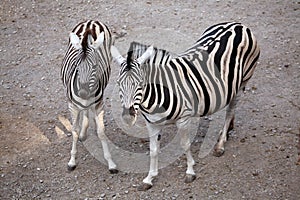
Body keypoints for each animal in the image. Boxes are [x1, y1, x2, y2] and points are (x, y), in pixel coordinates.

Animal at [60, 19, 117, 173]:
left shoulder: (98, 104)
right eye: (76, 67)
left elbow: (101, 132)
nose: (83, 93)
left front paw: (110, 163)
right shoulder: (72, 105)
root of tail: (91, 21)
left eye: (95, 67)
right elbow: (74, 130)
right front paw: (72, 161)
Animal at [111, 21, 258, 190]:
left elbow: (185, 144)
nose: (128, 116)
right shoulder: (152, 124)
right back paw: (227, 131)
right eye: (118, 83)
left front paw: (190, 171)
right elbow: (153, 150)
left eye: (140, 84)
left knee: (230, 111)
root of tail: (238, 24)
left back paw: (220, 144)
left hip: (243, 82)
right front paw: (149, 178)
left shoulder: (183, 119)